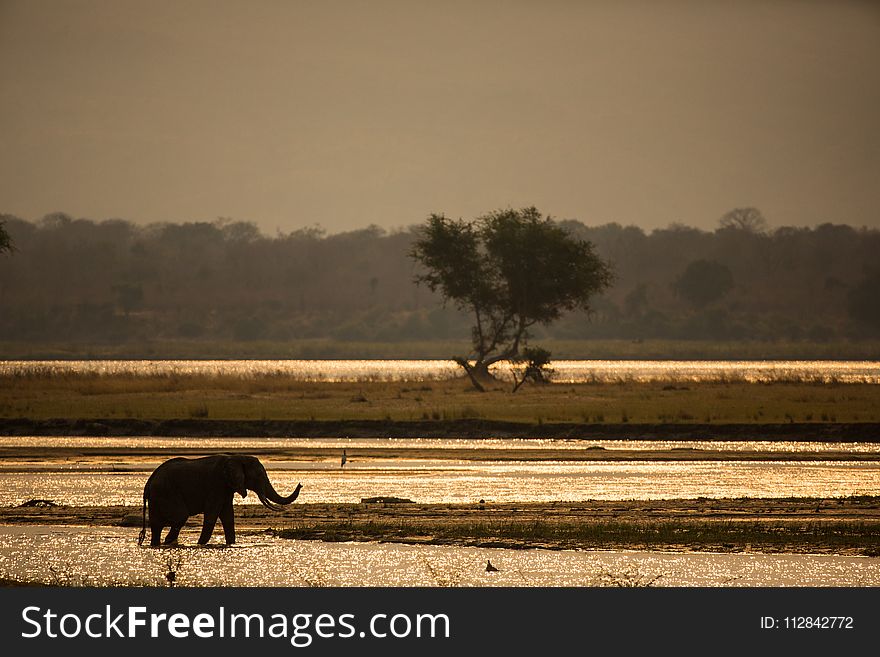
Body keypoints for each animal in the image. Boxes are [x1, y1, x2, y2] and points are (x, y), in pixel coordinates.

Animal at [138, 454, 302, 544]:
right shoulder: (216, 485)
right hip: (167, 492)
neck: (235, 457)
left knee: (157, 526)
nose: (300, 484)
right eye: (259, 476)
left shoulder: (227, 487)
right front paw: (200, 545)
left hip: (158, 496)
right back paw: (167, 542)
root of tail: (148, 483)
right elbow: (212, 514)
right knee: (180, 517)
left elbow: (228, 516)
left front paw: (231, 544)